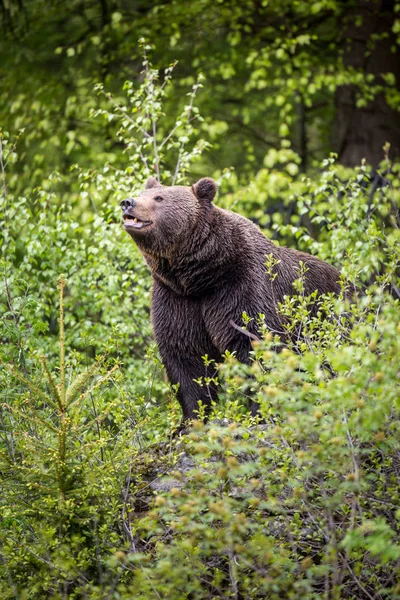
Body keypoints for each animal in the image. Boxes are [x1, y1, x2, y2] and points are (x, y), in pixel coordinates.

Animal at [120, 176, 342, 424]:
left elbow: (257, 342)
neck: (202, 275)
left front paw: (259, 414)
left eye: (159, 198)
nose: (127, 202)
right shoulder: (176, 297)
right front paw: (190, 420)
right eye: (142, 193)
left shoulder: (242, 286)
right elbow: (186, 356)